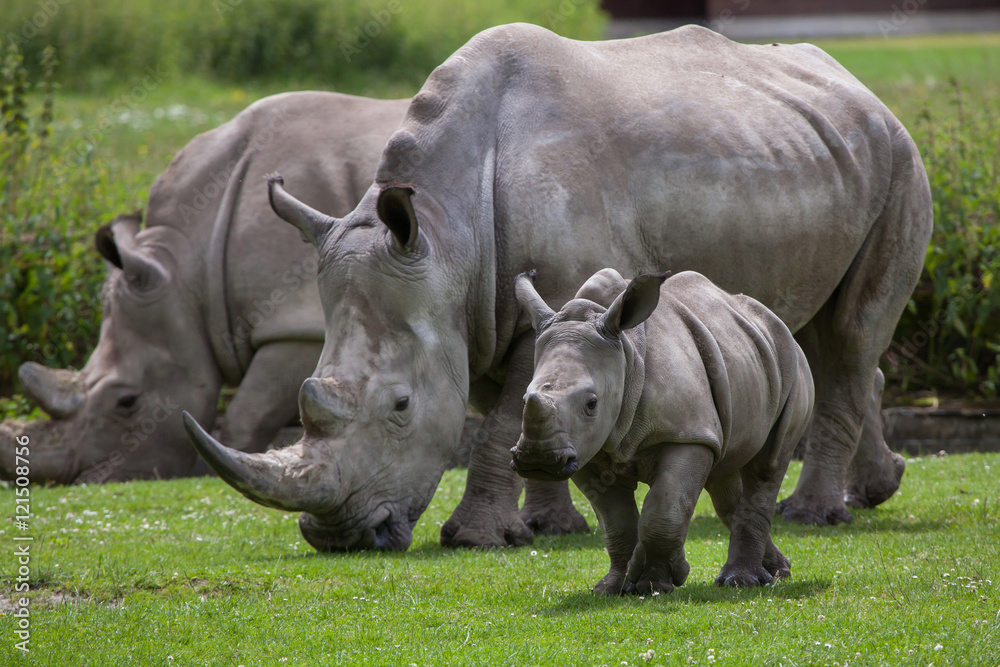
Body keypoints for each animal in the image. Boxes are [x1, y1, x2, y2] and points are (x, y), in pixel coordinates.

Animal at [184, 23, 932, 551]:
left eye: (400, 406)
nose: (339, 538)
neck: (448, 235)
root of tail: (862, 87)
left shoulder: (530, 308)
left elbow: (502, 421)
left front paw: (479, 539)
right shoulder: (476, 312)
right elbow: (526, 405)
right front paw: (550, 526)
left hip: (901, 160)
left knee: (852, 334)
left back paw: (813, 515)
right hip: (816, 154)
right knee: (826, 338)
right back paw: (875, 489)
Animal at [511, 269, 814, 594]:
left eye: (592, 404)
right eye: (524, 399)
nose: (538, 460)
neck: (626, 355)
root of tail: (776, 322)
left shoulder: (688, 435)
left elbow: (665, 507)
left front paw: (654, 584)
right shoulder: (584, 450)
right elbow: (615, 520)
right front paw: (614, 587)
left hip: (792, 362)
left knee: (767, 465)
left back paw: (742, 582)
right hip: (744, 355)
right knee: (725, 474)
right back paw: (777, 571)